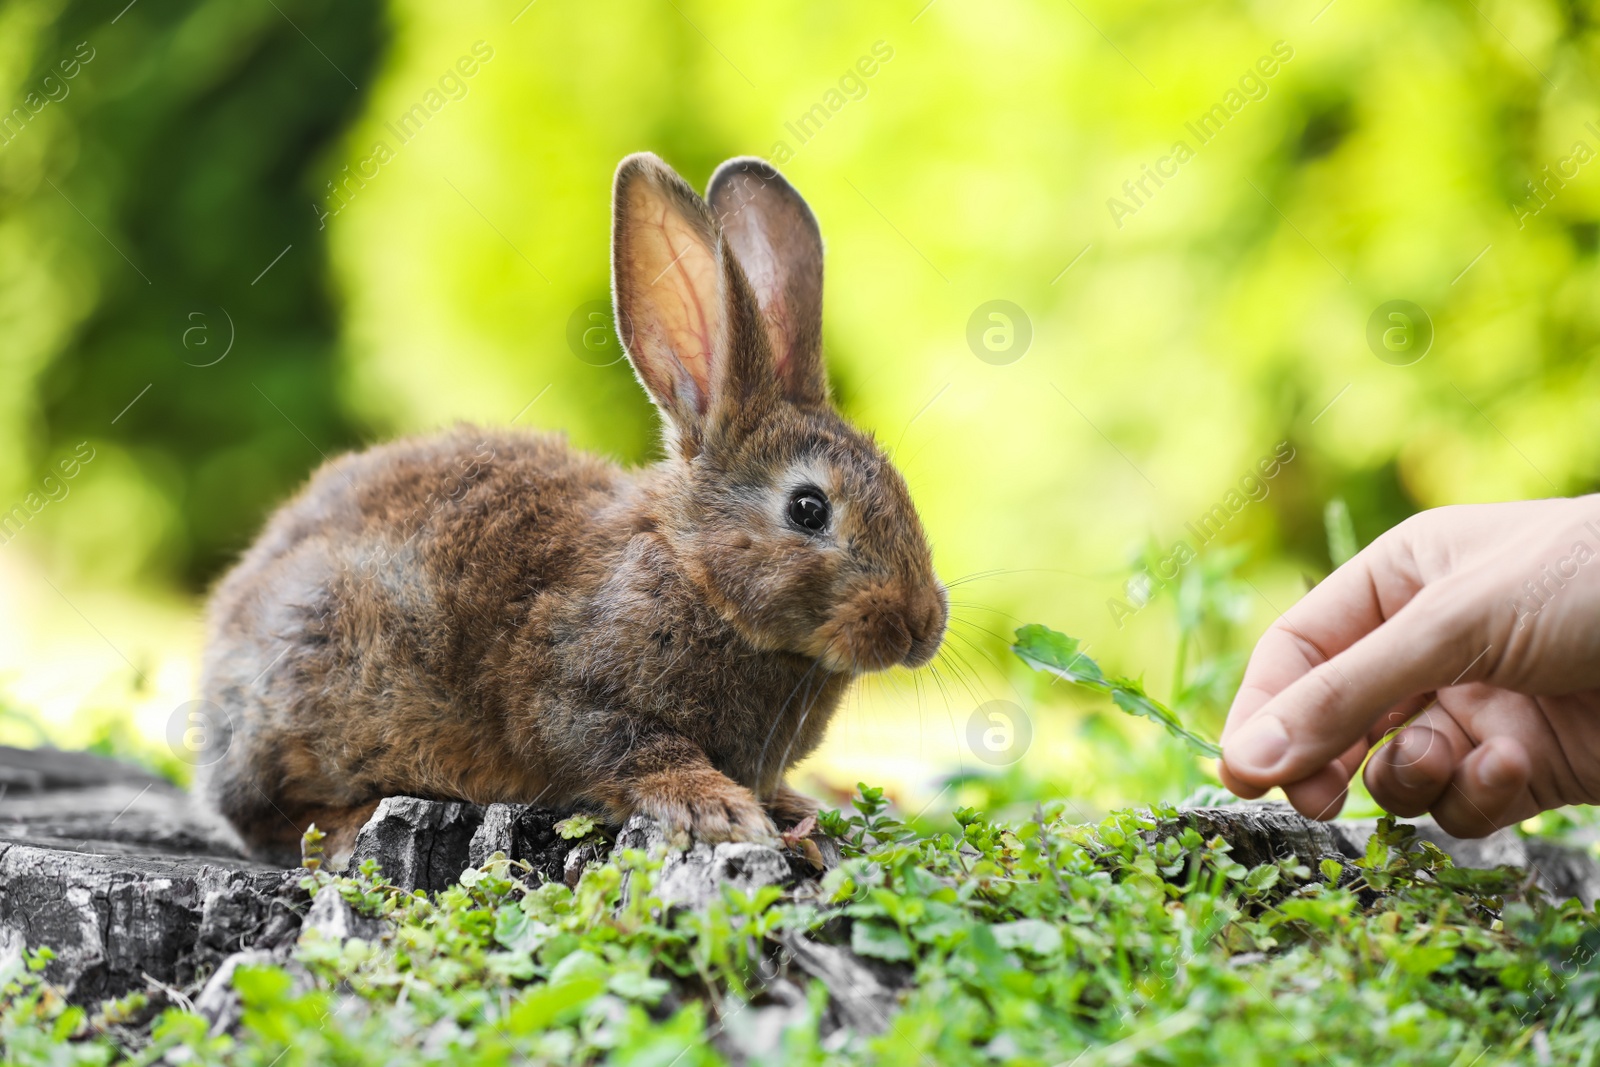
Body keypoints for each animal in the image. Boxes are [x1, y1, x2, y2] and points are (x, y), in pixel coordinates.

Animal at [200, 151, 947, 870]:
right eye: (808, 508)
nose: (921, 625)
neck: (695, 575)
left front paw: (801, 814)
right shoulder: (572, 695)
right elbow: (630, 749)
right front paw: (719, 809)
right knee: (266, 816)